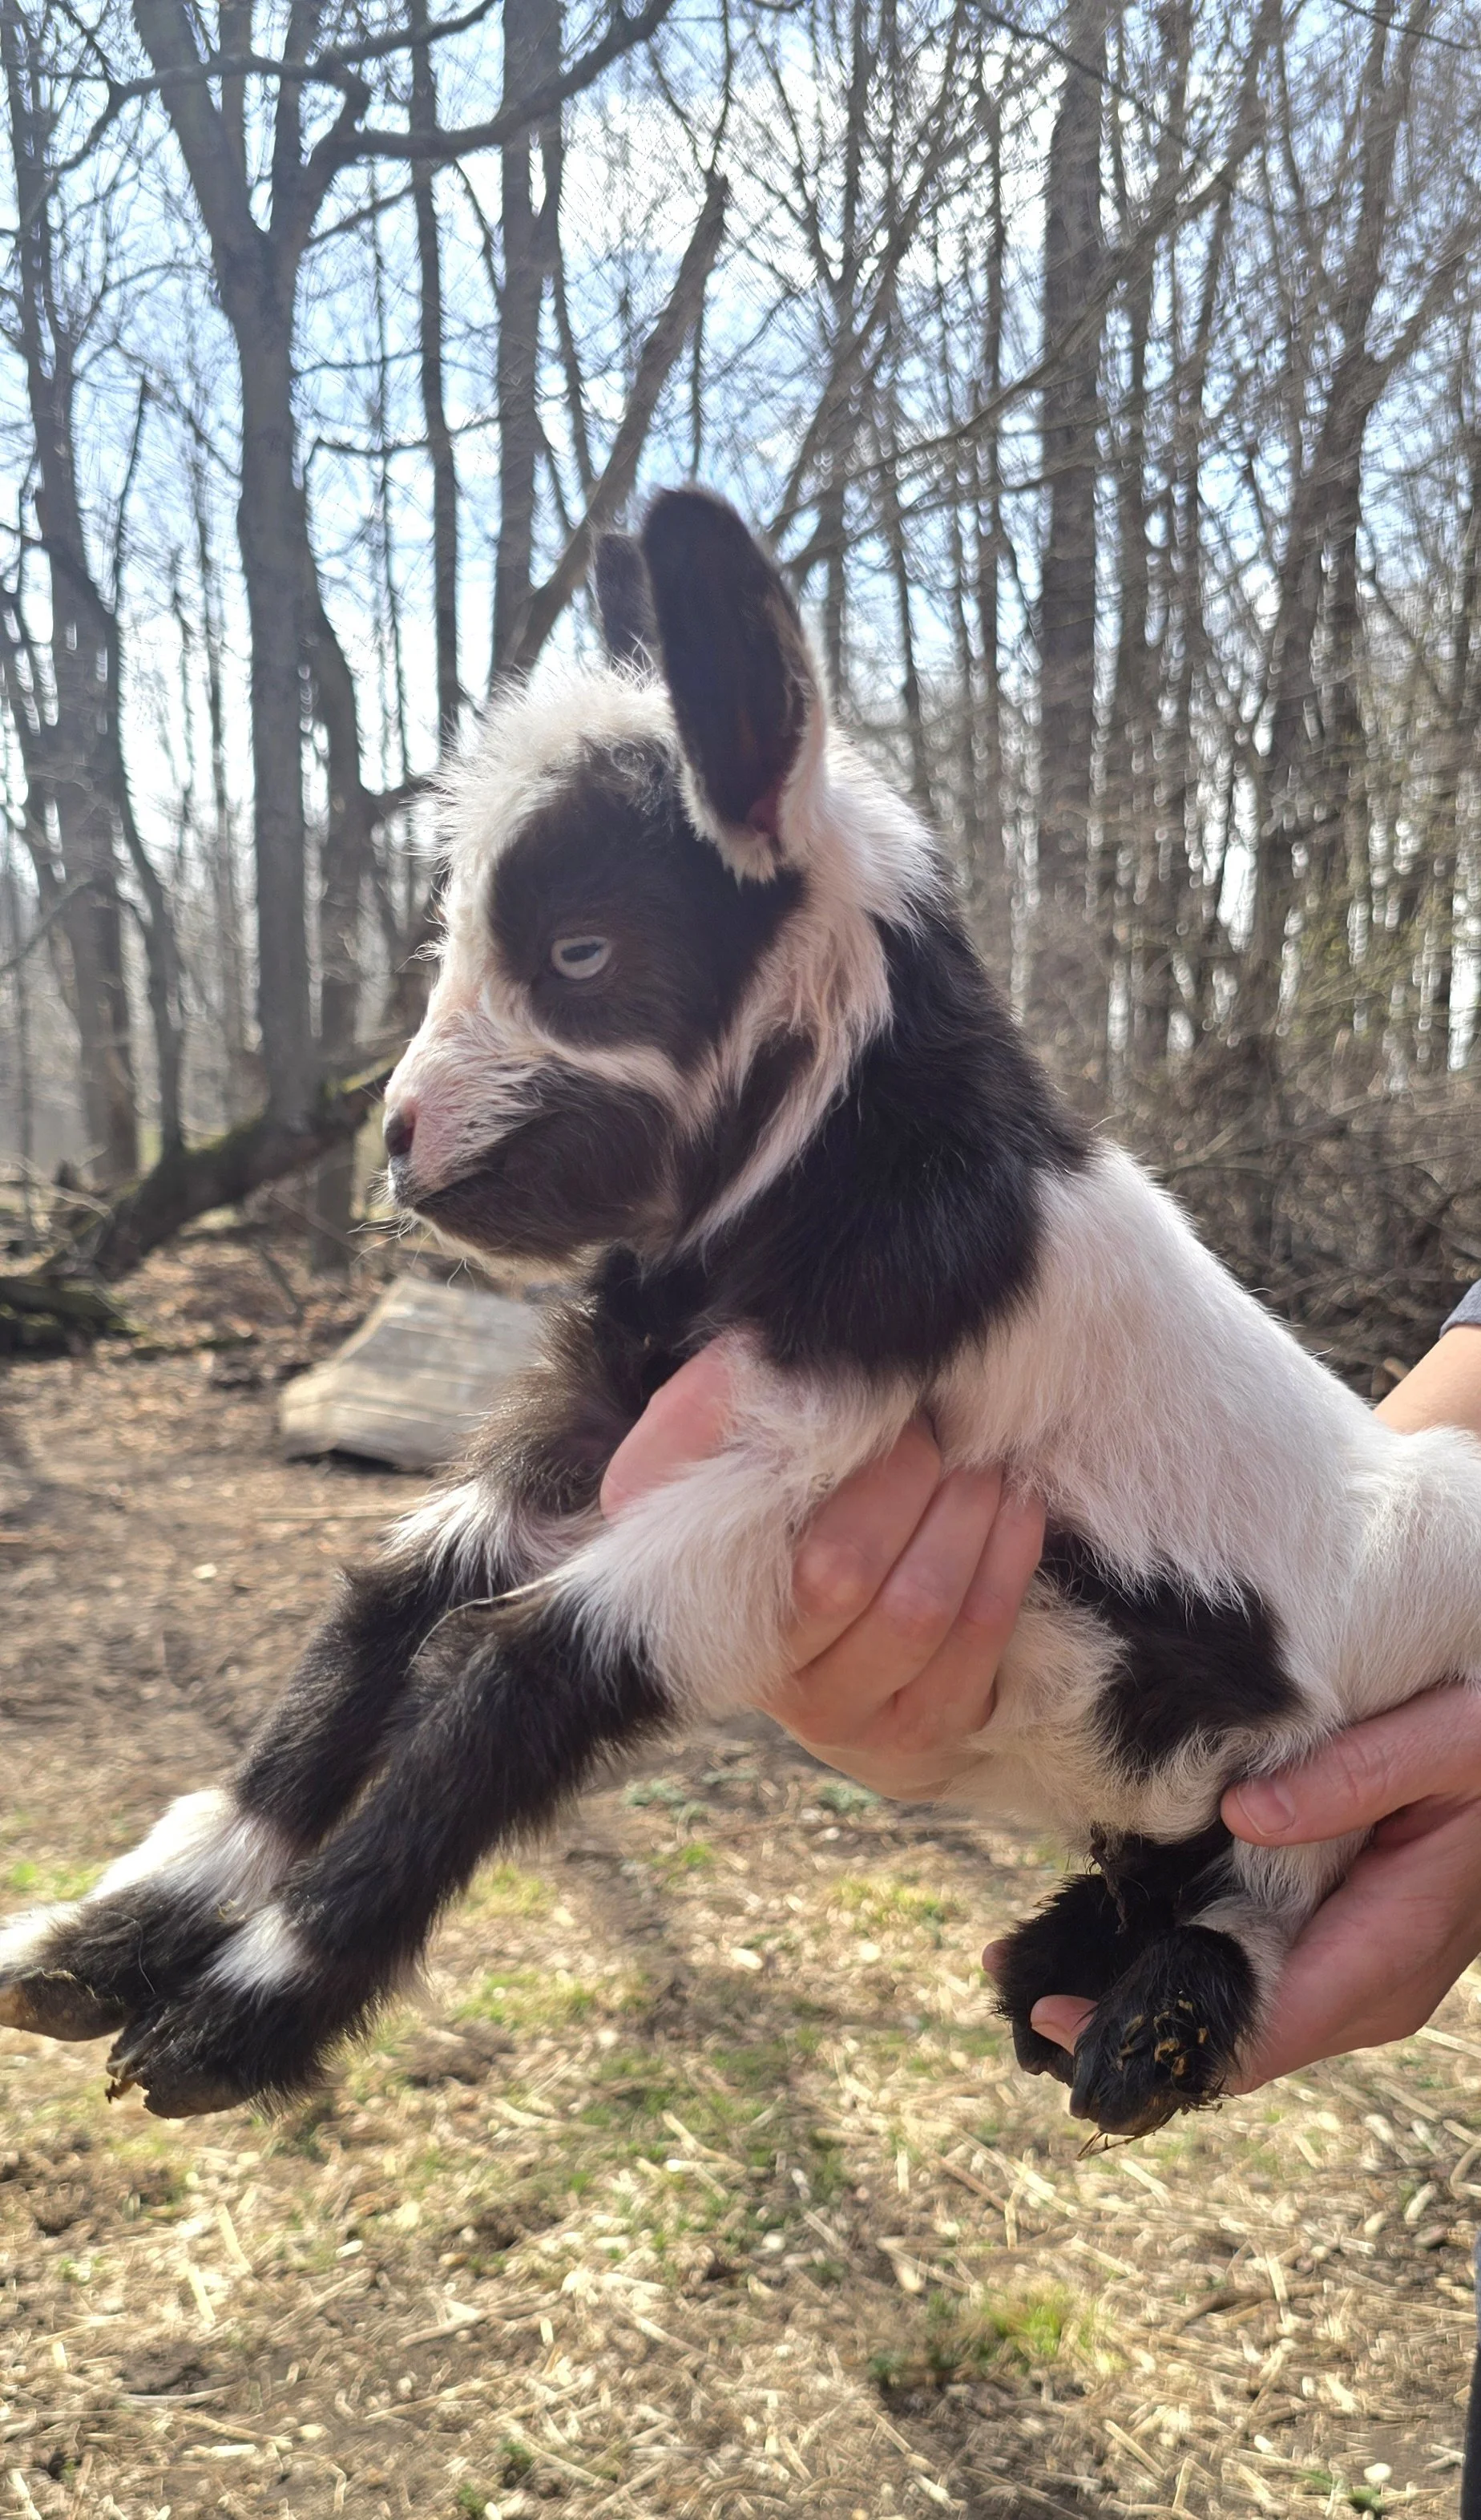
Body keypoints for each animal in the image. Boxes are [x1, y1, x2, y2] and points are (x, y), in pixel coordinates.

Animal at [4, 486, 1481, 2144]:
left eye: (582, 949)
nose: (399, 1140)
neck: (838, 1194)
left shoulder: (780, 1474)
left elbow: (522, 1666)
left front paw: (233, 2018)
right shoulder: (599, 1419)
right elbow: (386, 1602)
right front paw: (103, 1940)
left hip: (1330, 1732)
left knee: (1276, 1881)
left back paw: (1153, 2028)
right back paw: (1072, 1976)